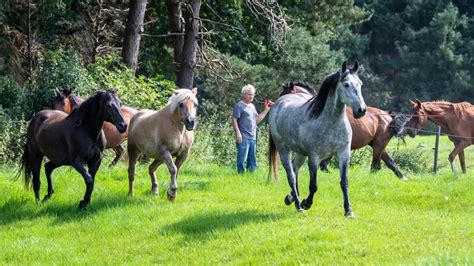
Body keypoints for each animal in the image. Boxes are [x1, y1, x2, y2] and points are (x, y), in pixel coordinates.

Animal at [266, 61, 366, 217]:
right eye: (346, 84)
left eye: (360, 84)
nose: (361, 110)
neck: (331, 122)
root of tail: (278, 105)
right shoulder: (314, 157)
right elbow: (313, 186)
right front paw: (306, 203)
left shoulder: (344, 154)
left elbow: (344, 183)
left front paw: (348, 211)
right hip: (283, 149)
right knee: (291, 176)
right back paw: (298, 205)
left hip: (300, 153)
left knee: (295, 169)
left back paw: (291, 198)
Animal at [270, 81, 412, 181]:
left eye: (285, 93)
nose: (276, 104)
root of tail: (388, 115)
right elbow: (323, 165)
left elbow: (323, 165)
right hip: (378, 145)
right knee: (389, 162)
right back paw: (402, 178)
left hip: (378, 145)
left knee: (375, 166)